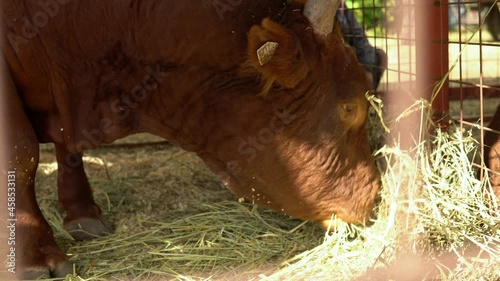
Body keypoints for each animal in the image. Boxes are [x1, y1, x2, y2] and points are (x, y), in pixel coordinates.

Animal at [0, 0, 378, 276]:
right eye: (351, 107)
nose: (373, 199)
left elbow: (66, 146)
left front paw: (81, 212)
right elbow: (21, 152)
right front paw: (33, 256)